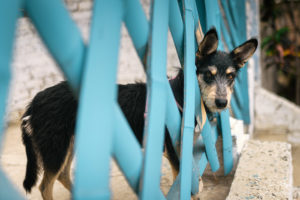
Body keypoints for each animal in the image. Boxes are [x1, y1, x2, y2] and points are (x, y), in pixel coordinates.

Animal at [21, 28, 256, 200]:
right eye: (208, 75)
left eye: (231, 77)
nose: (222, 102)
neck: (180, 95)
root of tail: (35, 100)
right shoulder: (172, 149)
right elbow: (183, 181)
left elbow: (193, 180)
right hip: (56, 148)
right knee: (45, 186)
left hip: (69, 143)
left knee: (62, 176)